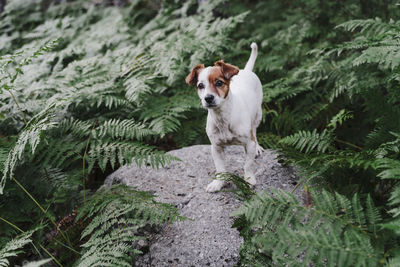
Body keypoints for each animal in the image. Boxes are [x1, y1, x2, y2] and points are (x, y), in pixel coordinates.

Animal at [186, 42, 264, 193]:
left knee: (255, 130)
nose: (208, 98)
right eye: (200, 85)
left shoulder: (248, 143)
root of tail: (245, 70)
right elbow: (220, 168)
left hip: (258, 115)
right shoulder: (216, 147)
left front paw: (249, 179)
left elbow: (248, 164)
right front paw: (218, 183)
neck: (223, 118)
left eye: (219, 83)